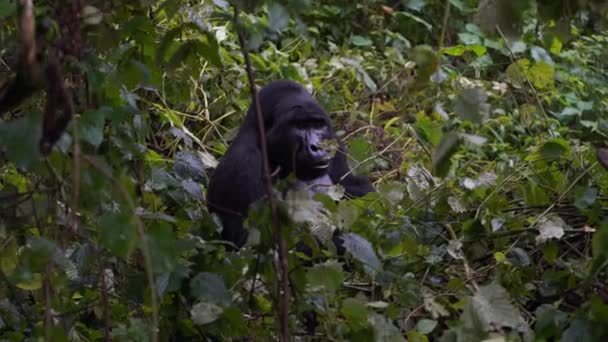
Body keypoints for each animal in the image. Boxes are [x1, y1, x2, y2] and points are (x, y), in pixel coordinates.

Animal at [207, 81, 372, 250]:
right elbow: (254, 243)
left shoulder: (335, 144)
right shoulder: (242, 163)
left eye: (318, 125)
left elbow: (358, 188)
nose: (317, 147)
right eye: (299, 126)